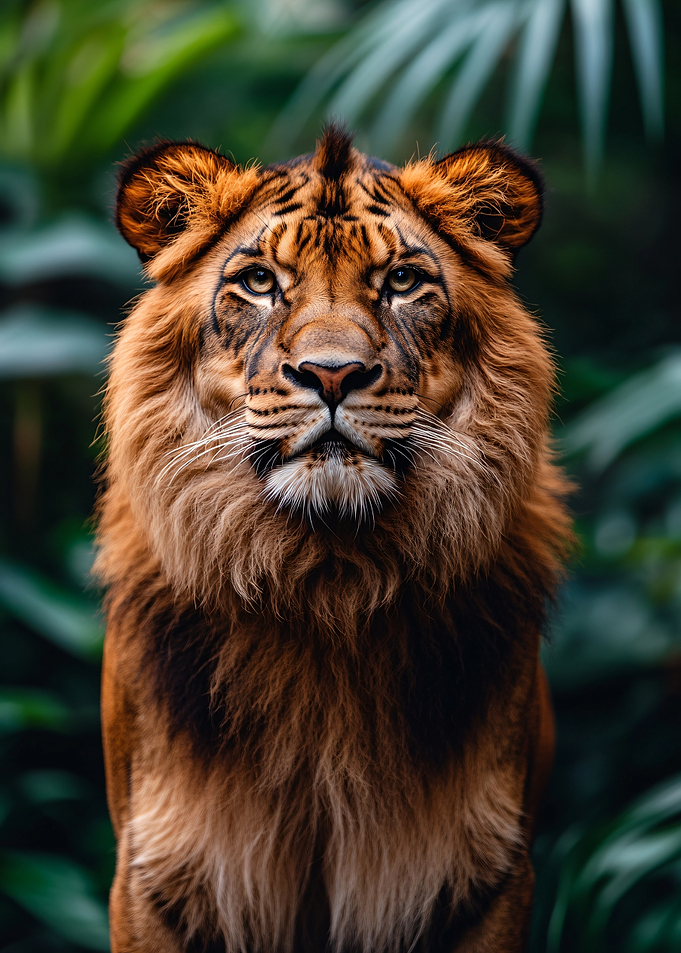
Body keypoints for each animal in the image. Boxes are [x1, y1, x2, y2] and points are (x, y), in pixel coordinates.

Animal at [97, 125, 571, 953]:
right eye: (257, 281)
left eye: (403, 281)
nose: (331, 374)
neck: (327, 579)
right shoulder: (158, 875)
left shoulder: (482, 876)